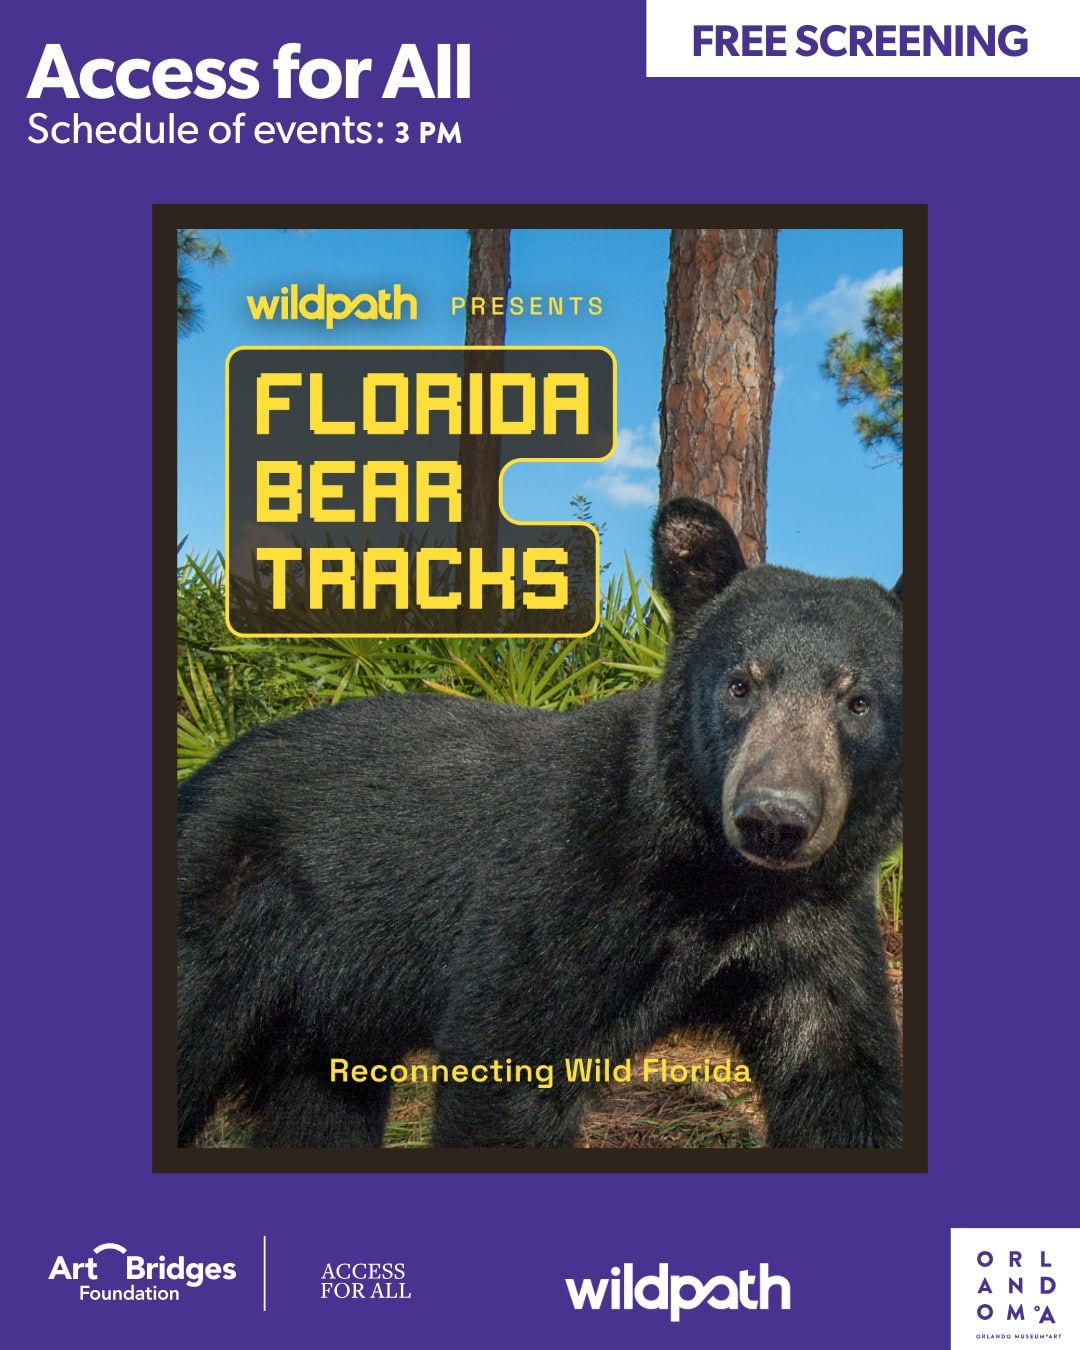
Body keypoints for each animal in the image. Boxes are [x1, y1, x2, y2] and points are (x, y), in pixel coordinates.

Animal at [177, 497, 903, 1150]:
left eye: (859, 701)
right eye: (740, 684)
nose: (774, 819)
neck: (718, 884)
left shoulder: (813, 928)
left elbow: (842, 1081)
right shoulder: (560, 885)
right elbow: (508, 1067)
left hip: (327, 1015)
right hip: (224, 914)